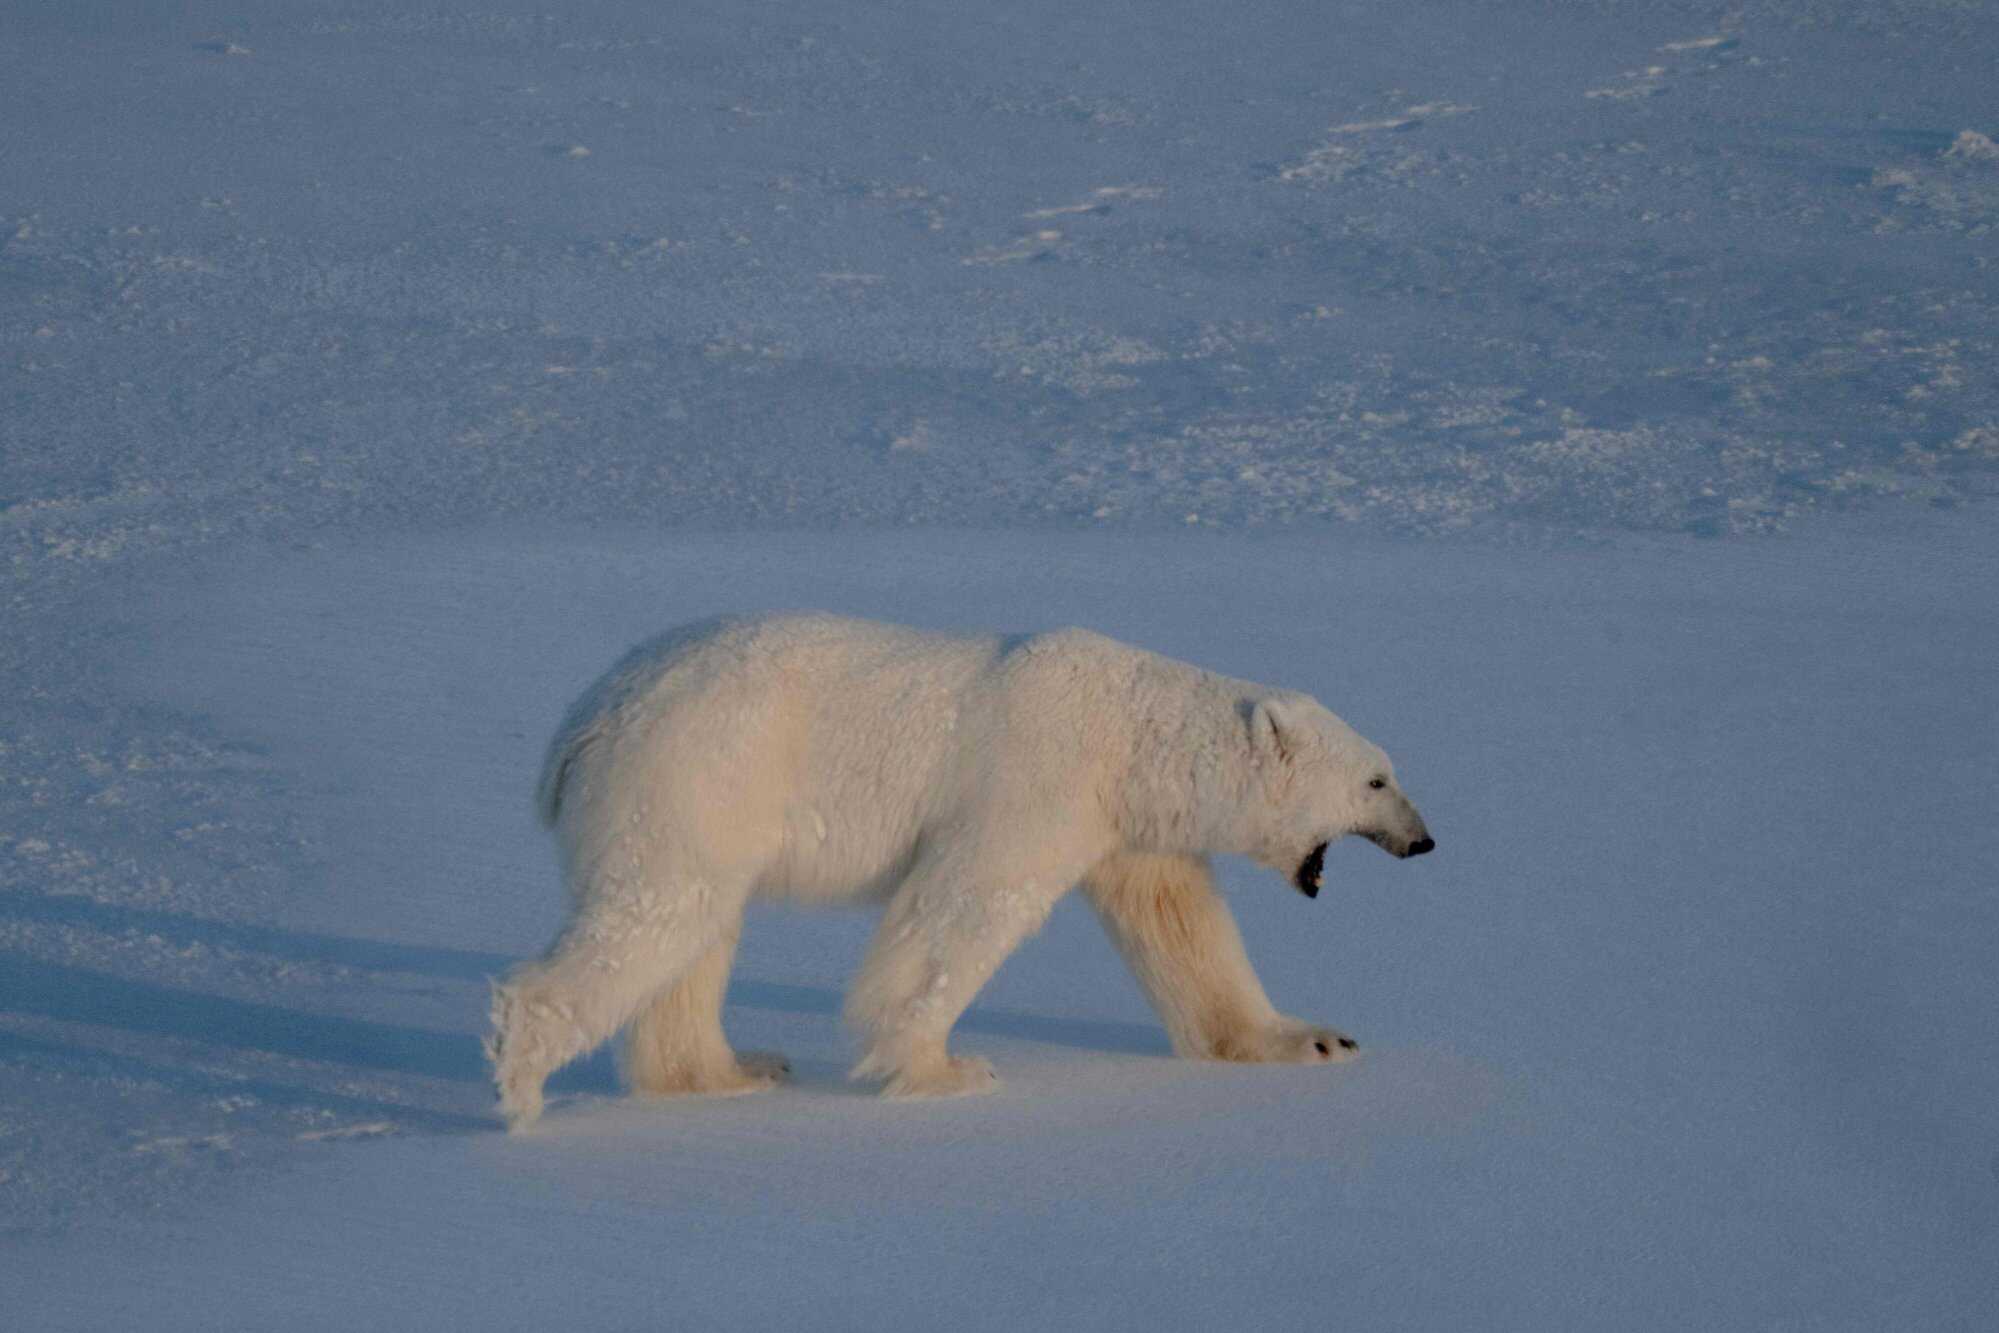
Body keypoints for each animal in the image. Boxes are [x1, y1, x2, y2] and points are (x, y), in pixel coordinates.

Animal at [487, 612, 1433, 1129]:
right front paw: (945, 1068)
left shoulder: (1129, 825)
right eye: (1376, 780)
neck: (1132, 734)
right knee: (656, 912)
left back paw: (730, 1070)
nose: (1424, 841)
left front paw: (1314, 1039)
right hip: (697, 772)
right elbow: (964, 904)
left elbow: (1181, 925)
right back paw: (522, 1079)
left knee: (695, 933)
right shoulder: (1037, 778)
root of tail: (582, 720)